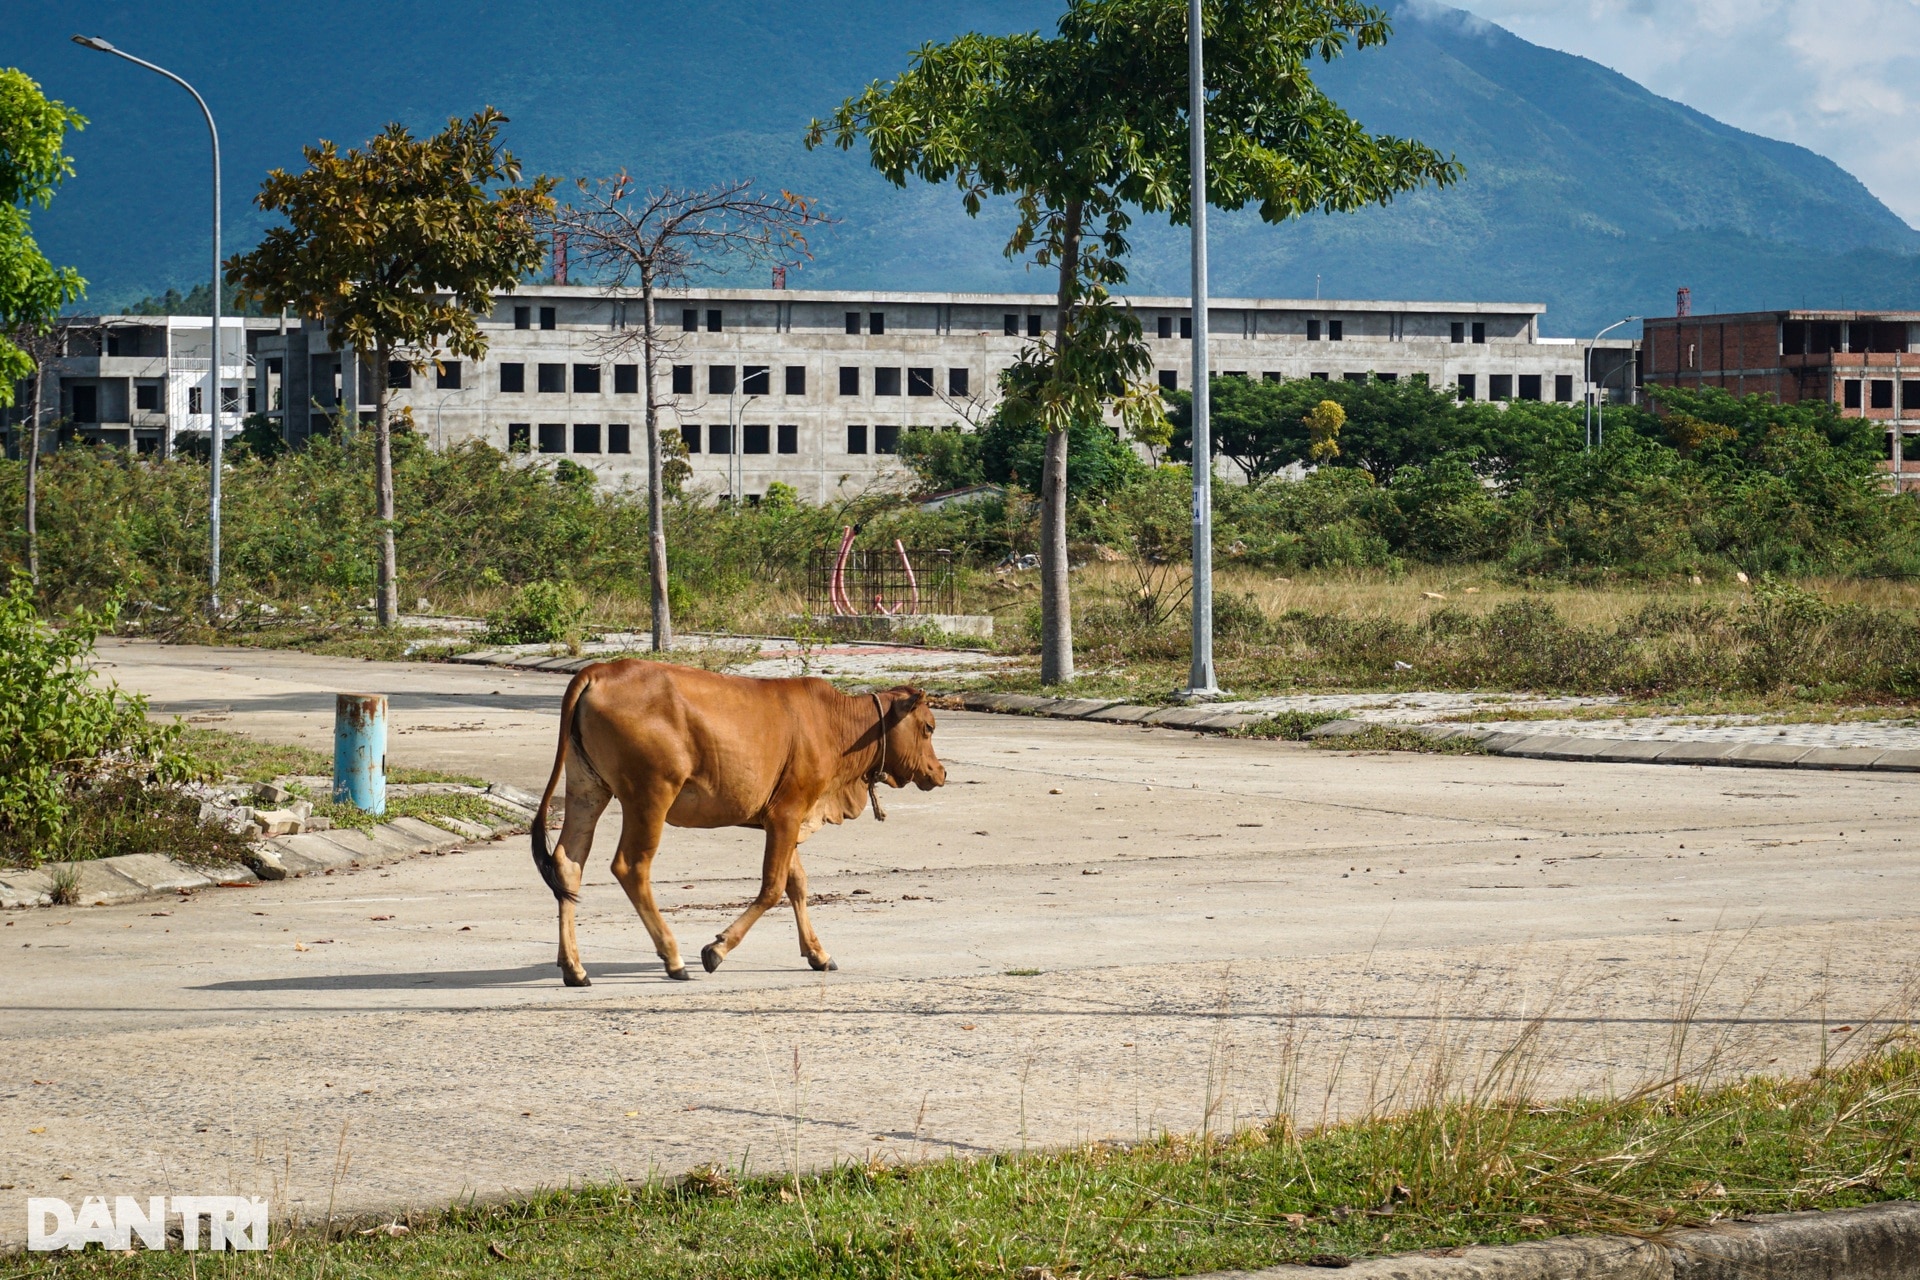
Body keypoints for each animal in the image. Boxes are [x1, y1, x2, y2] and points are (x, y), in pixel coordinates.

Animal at [529, 667, 948, 990]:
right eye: (928, 727)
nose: (940, 772)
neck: (836, 726)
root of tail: (600, 669)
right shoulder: (786, 813)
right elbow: (773, 886)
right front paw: (716, 949)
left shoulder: (786, 820)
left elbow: (797, 883)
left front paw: (817, 952)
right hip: (649, 796)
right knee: (631, 867)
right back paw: (673, 957)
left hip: (588, 788)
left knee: (568, 864)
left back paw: (574, 968)